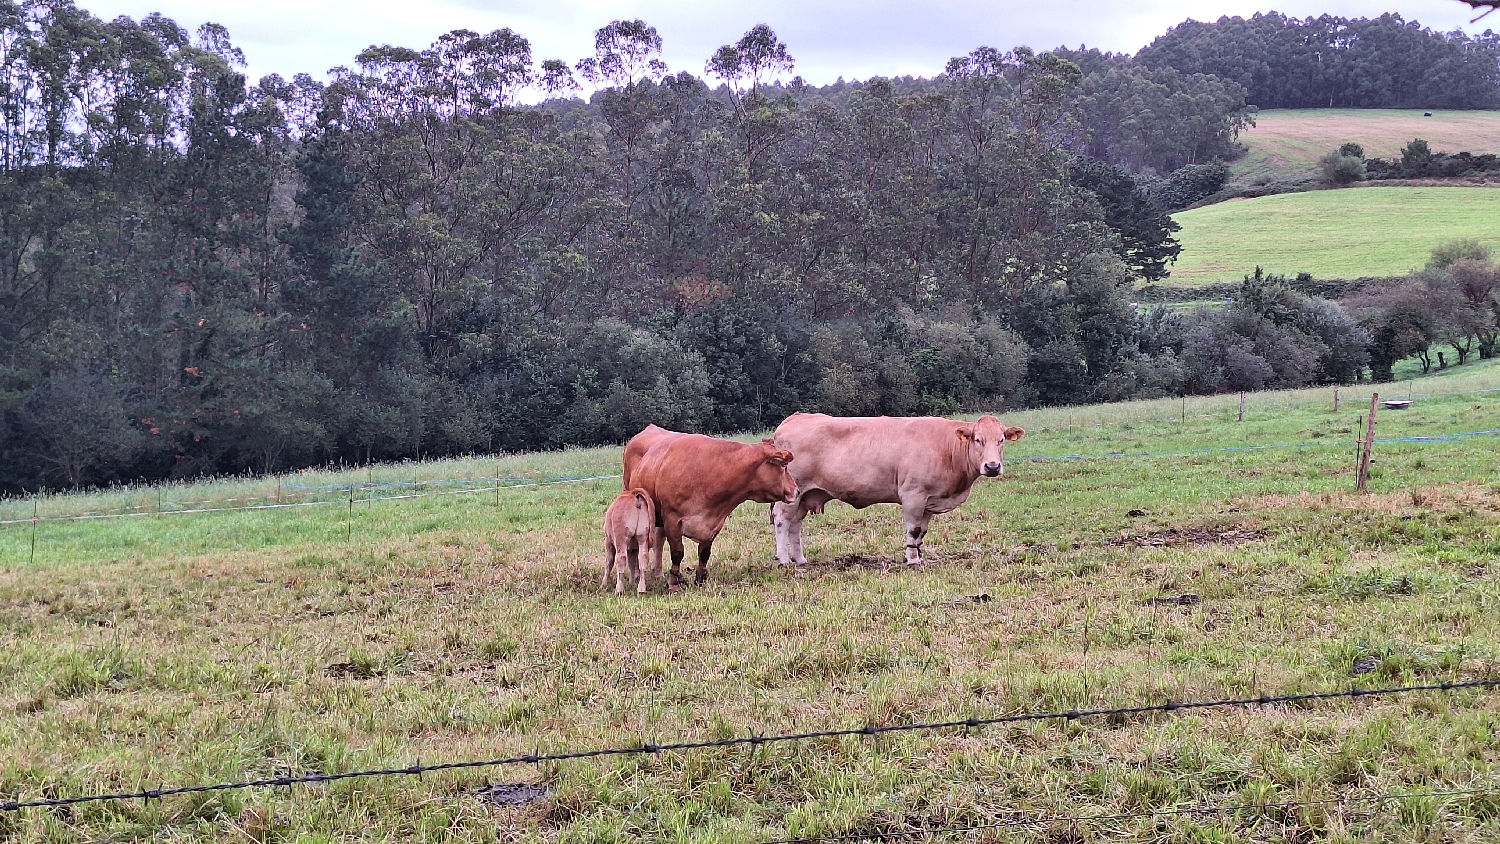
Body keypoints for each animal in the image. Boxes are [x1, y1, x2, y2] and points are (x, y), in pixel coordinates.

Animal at [621, 425, 798, 590]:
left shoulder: (713, 522)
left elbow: (704, 553)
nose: (796, 491)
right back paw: (636, 575)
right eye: (782, 466)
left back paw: (657, 574)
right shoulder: (672, 518)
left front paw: (700, 579)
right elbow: (677, 553)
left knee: (658, 540)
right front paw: (674, 583)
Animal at [774, 413, 1020, 572]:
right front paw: (912, 560)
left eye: (1001, 440)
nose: (992, 466)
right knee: (781, 522)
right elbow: (913, 530)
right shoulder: (913, 494)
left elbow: (921, 532)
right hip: (792, 493)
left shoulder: (929, 500)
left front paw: (918, 556)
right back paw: (784, 560)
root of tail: (796, 417)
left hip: (804, 496)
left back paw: (800, 559)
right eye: (978, 440)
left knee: (795, 526)